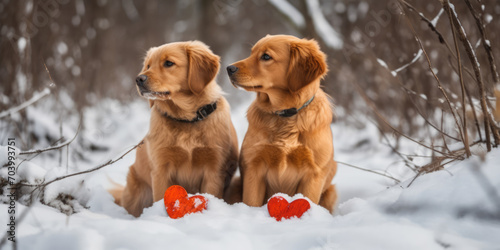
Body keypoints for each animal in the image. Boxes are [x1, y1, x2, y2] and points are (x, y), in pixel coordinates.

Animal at [112, 41, 240, 217]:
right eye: (148, 65)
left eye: (168, 63)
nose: (138, 79)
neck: (187, 120)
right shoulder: (161, 169)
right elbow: (161, 197)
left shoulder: (214, 169)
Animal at [226, 34, 336, 212]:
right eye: (251, 52)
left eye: (266, 56)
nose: (229, 68)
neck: (285, 114)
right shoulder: (253, 168)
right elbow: (251, 202)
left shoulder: (314, 174)